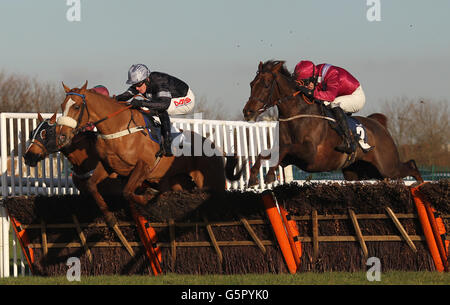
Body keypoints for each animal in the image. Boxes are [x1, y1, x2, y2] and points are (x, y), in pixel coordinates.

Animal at [243, 59, 422, 184]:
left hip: (387, 166)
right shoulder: (292, 156)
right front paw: (253, 177)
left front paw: (269, 175)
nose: (248, 112)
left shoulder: (310, 154)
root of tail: (379, 124)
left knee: (411, 165)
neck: (298, 115)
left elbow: (286, 148)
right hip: (357, 172)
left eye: (266, 85)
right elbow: (266, 153)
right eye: (251, 84)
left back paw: (419, 185)